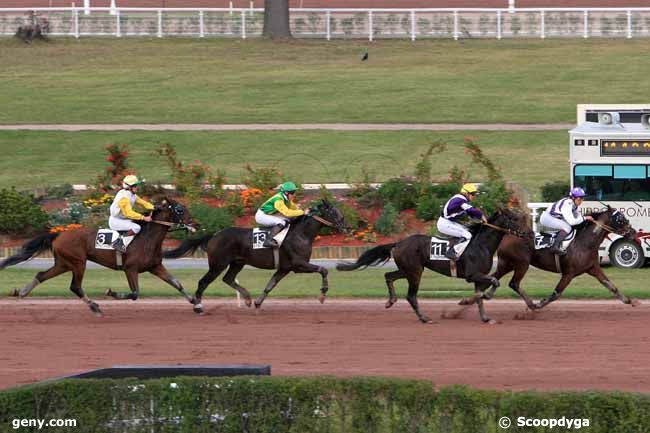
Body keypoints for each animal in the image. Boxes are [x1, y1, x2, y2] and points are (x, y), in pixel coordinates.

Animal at [1, 198, 196, 314]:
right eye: (180, 209)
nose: (196, 223)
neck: (146, 239)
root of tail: (58, 234)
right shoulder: (130, 269)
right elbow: (134, 293)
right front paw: (111, 293)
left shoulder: (155, 267)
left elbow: (176, 283)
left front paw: (195, 302)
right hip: (78, 263)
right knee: (75, 286)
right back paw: (94, 306)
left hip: (63, 263)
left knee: (42, 275)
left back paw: (22, 292)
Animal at [161, 199, 344, 314]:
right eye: (333, 212)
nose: (346, 226)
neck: (301, 234)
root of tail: (215, 234)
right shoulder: (299, 264)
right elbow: (323, 270)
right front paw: (322, 295)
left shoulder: (285, 268)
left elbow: (270, 285)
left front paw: (257, 303)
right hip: (218, 264)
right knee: (203, 282)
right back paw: (198, 306)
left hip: (237, 262)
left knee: (228, 279)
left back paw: (248, 299)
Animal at [336, 208, 524, 322]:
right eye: (513, 218)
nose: (525, 232)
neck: (481, 245)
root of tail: (399, 243)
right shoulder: (472, 275)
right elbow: (494, 282)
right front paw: (476, 299)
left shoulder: (479, 277)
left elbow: (480, 296)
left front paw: (484, 317)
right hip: (415, 272)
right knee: (411, 296)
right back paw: (424, 318)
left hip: (408, 270)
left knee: (388, 276)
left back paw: (391, 301)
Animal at [468, 207, 640, 310]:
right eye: (620, 219)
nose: (633, 232)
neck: (585, 243)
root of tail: (507, 235)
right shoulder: (568, 273)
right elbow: (556, 294)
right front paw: (540, 304)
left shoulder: (593, 268)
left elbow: (610, 285)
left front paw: (630, 301)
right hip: (522, 264)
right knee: (513, 283)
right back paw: (531, 304)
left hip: (506, 264)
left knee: (491, 279)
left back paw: (474, 299)